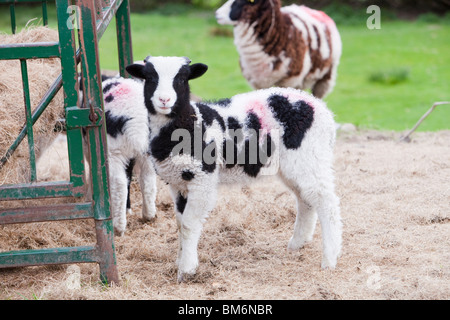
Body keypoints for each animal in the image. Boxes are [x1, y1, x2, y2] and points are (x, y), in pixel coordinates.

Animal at [125, 55, 342, 282]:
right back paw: (298, 243)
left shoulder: (202, 179)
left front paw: (187, 269)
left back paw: (330, 259)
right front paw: (180, 260)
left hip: (310, 157)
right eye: (150, 78)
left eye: (182, 79)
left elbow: (189, 224)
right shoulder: (177, 182)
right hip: (295, 165)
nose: (164, 100)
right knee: (305, 199)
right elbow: (179, 223)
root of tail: (322, 109)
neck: (190, 123)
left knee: (327, 202)